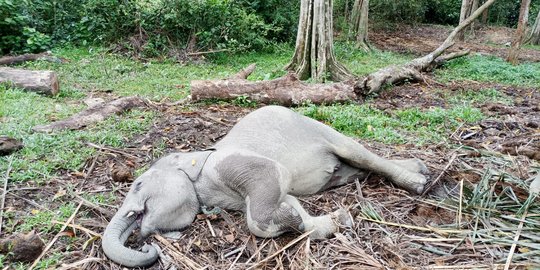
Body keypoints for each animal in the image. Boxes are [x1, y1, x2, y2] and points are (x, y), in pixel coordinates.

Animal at [102, 105, 430, 266]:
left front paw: (296, 218)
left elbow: (272, 181)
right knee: (356, 168)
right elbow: (287, 199)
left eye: (138, 184)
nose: (148, 247)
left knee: (360, 153)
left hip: (320, 129)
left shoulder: (235, 164)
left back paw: (420, 182)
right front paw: (329, 219)